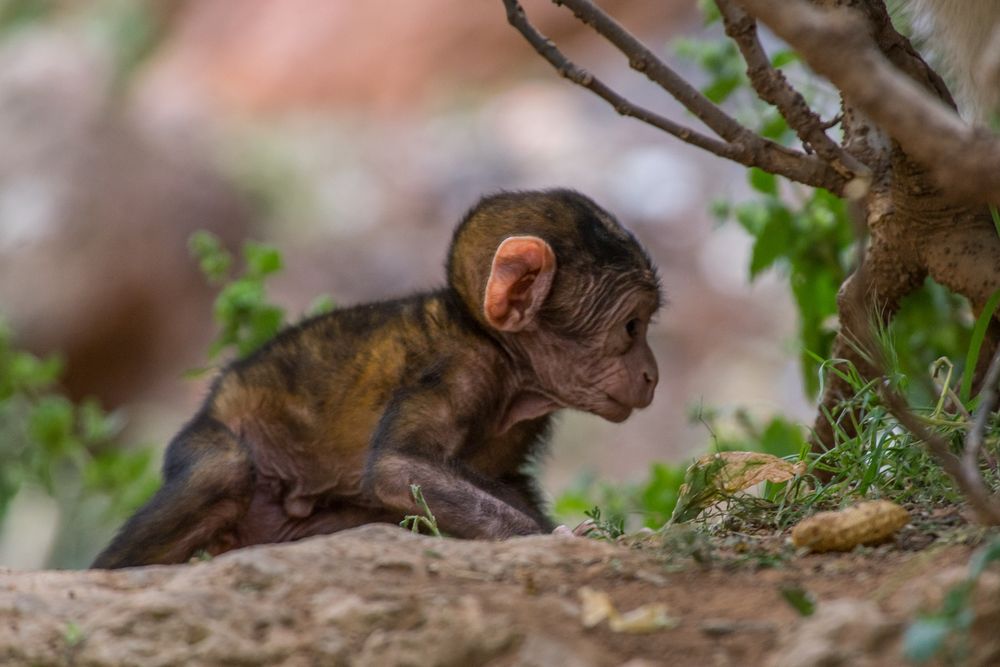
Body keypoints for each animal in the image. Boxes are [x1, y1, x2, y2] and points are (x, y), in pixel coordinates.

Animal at [90, 188, 660, 568]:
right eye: (631, 327)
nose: (652, 374)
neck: (498, 351)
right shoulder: (457, 372)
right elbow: (396, 468)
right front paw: (555, 540)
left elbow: (502, 481)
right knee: (222, 471)